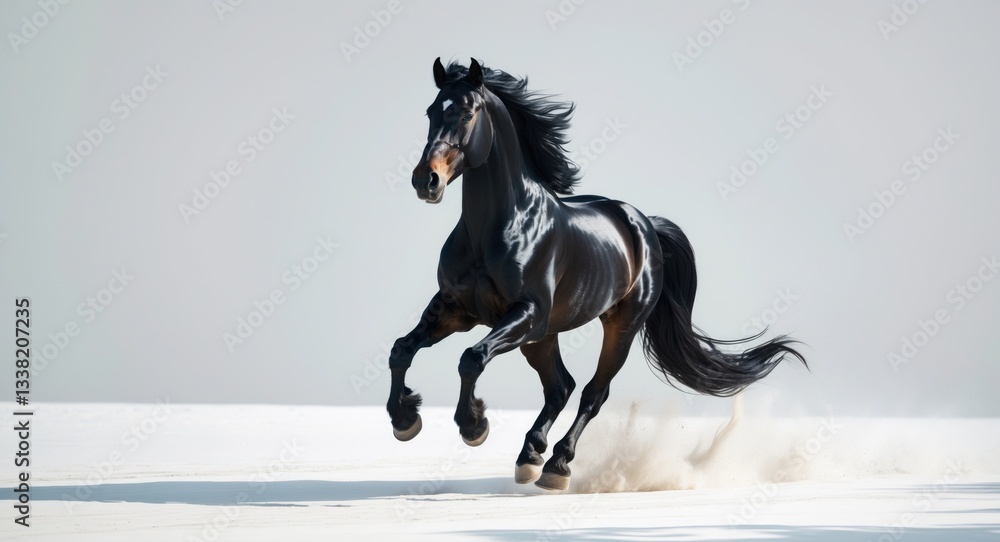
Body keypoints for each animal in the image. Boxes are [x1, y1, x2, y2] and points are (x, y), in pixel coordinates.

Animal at [385, 57, 806, 491]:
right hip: (542, 337)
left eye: (467, 112)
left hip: (615, 327)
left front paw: (473, 427)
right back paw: (530, 456)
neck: (494, 229)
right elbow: (402, 349)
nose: (425, 180)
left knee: (591, 393)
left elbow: (472, 358)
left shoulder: (526, 314)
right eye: (431, 112)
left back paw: (556, 466)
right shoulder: (455, 310)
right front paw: (406, 421)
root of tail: (646, 225)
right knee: (560, 387)